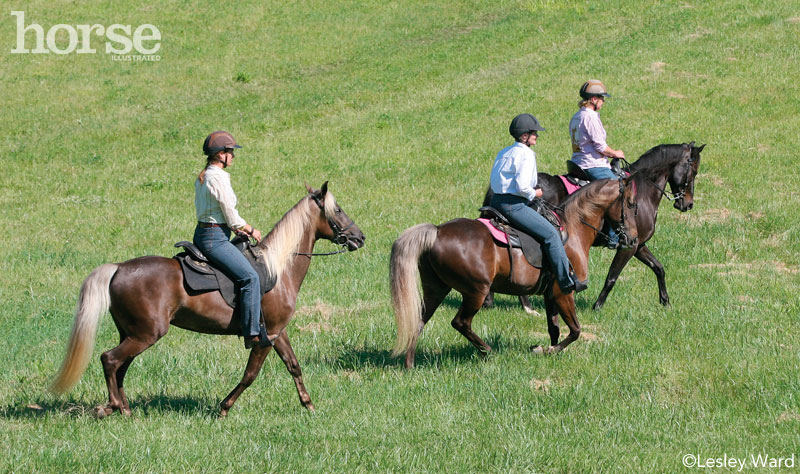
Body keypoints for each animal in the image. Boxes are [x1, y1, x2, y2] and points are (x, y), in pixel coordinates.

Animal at [51, 181, 370, 414]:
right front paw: (224, 407)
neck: (278, 268)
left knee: (120, 366)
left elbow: (294, 365)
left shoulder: (278, 332)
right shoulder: (265, 336)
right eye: (338, 209)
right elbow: (250, 374)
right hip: (146, 333)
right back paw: (115, 407)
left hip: (132, 332)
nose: (360, 237)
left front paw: (309, 405)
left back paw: (124, 408)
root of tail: (118, 268)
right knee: (110, 359)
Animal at [388, 176, 636, 368]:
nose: (633, 239)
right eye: (632, 204)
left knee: (419, 321)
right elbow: (575, 330)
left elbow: (554, 328)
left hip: (436, 290)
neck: (573, 231)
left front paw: (546, 348)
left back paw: (409, 364)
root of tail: (437, 231)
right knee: (460, 322)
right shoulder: (563, 292)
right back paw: (487, 351)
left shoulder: (550, 295)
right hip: (476, 292)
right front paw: (546, 350)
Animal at [484, 141, 704, 312]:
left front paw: (665, 301)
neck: (642, 192)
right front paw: (597, 306)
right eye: (693, 171)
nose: (688, 204)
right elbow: (612, 277)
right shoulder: (629, 246)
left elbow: (658, 268)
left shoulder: (638, 244)